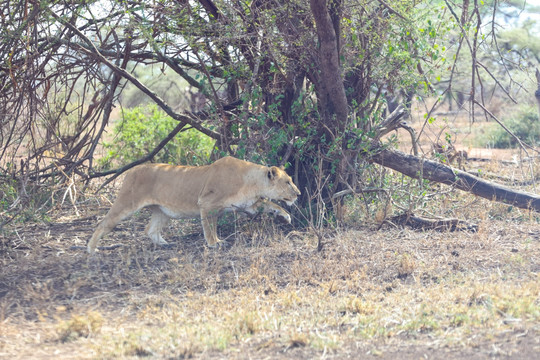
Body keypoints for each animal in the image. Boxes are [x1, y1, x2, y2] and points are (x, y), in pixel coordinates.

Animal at [86, 157, 302, 253]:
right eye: (288, 182)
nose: (299, 194)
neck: (252, 182)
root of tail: (132, 170)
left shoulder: (248, 205)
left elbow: (269, 203)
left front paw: (285, 215)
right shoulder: (207, 203)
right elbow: (210, 227)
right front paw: (215, 243)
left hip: (162, 211)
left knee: (150, 229)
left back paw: (165, 244)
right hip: (126, 203)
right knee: (103, 223)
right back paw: (91, 249)